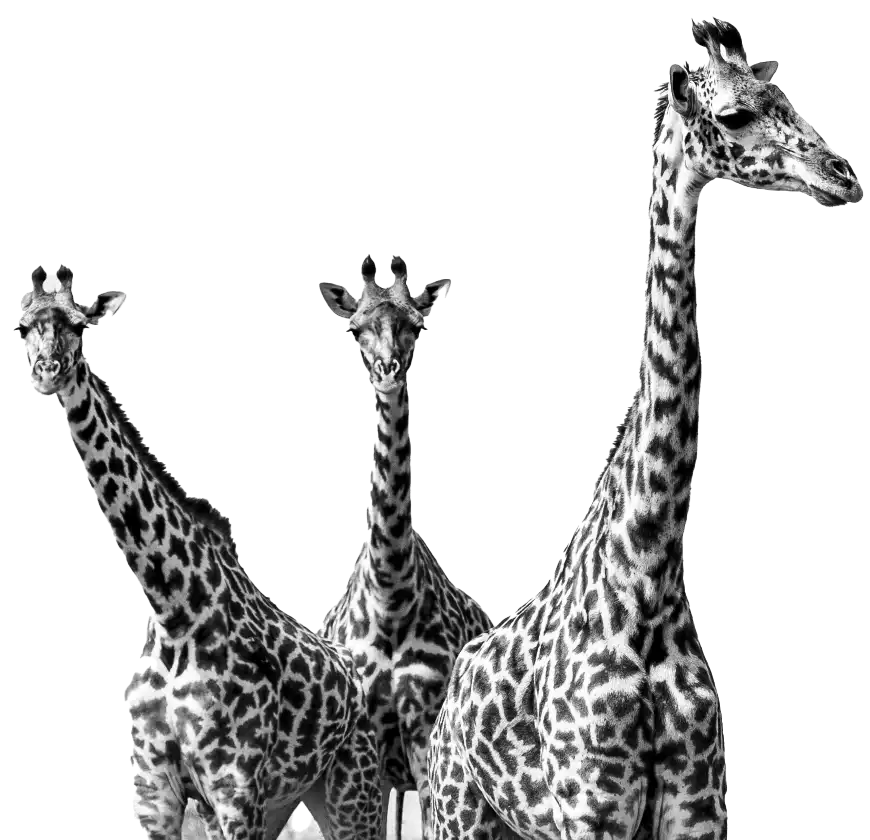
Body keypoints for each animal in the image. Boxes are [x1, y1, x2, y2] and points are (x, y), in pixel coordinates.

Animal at [16, 264, 383, 840]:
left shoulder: (234, 789)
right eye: (24, 326)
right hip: (289, 800)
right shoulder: (154, 795)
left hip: (352, 792)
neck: (175, 607)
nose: (47, 369)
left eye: (78, 325)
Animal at [318, 255, 493, 840]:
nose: (389, 371)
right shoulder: (370, 740)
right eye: (356, 329)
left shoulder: (423, 732)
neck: (391, 592)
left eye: (415, 327)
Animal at [429, 17, 862, 840]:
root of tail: (447, 709)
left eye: (787, 98)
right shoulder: (592, 810)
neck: (649, 585)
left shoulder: (698, 811)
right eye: (734, 116)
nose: (843, 176)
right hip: (457, 814)